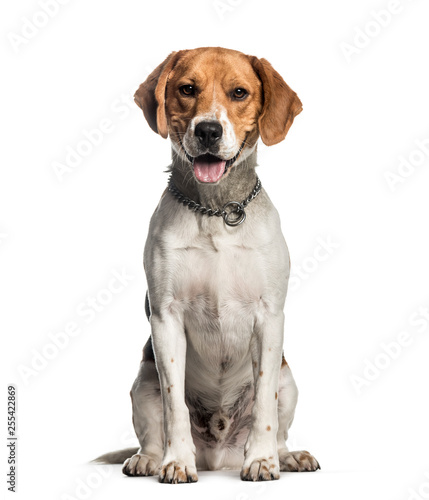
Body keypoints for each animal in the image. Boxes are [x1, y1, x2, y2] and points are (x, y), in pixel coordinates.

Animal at [97, 47, 318, 484]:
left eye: (239, 92)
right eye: (186, 89)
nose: (208, 131)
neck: (216, 211)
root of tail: (217, 458)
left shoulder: (270, 318)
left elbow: (264, 403)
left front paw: (262, 460)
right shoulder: (165, 318)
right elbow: (174, 406)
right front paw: (176, 462)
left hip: (289, 379)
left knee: (279, 425)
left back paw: (287, 456)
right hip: (142, 380)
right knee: (152, 430)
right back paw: (149, 459)